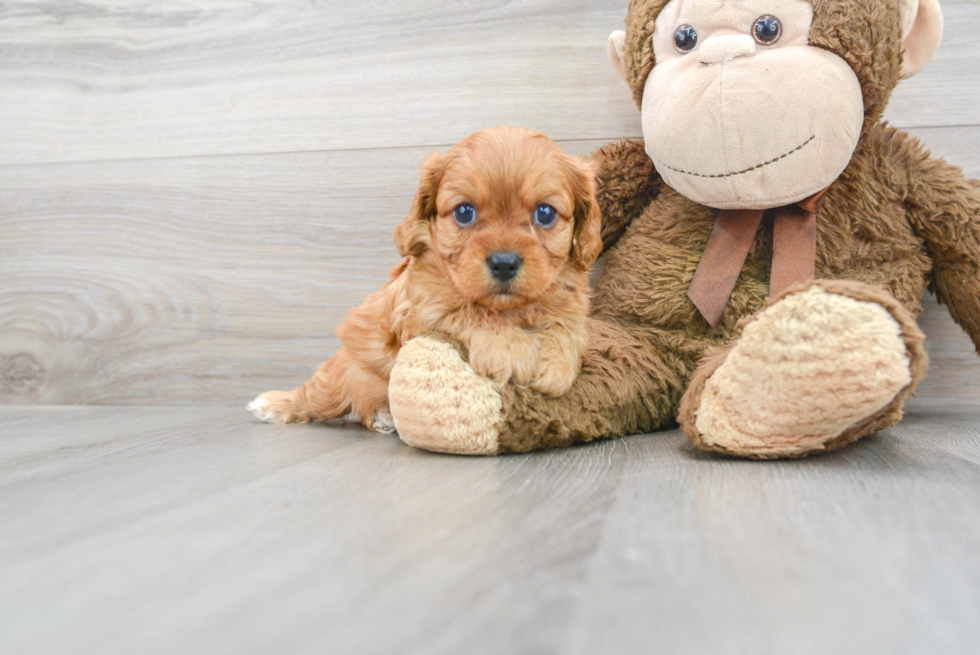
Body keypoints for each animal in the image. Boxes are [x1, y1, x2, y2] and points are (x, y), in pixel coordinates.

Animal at [249, 129, 600, 436]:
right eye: (464, 212)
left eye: (545, 213)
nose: (503, 263)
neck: (510, 309)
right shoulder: (422, 312)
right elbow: (470, 310)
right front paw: (510, 350)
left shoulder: (572, 309)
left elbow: (565, 330)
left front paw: (555, 365)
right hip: (340, 373)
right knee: (315, 397)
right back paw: (274, 404)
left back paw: (381, 416)